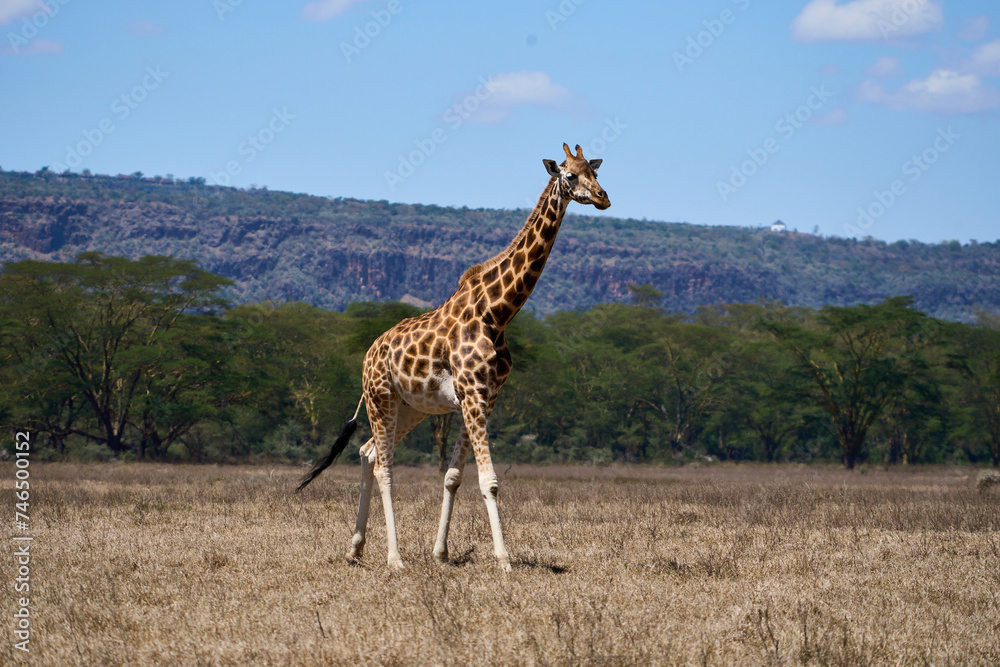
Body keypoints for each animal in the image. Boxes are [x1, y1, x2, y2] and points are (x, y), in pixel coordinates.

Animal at [297, 143, 610, 571]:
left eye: (594, 172)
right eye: (569, 175)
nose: (603, 198)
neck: (498, 312)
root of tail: (368, 355)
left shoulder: (484, 397)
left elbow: (453, 476)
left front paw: (441, 553)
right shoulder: (474, 393)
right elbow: (489, 481)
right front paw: (504, 560)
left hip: (410, 407)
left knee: (367, 452)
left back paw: (355, 548)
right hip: (381, 398)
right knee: (384, 465)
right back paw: (394, 558)